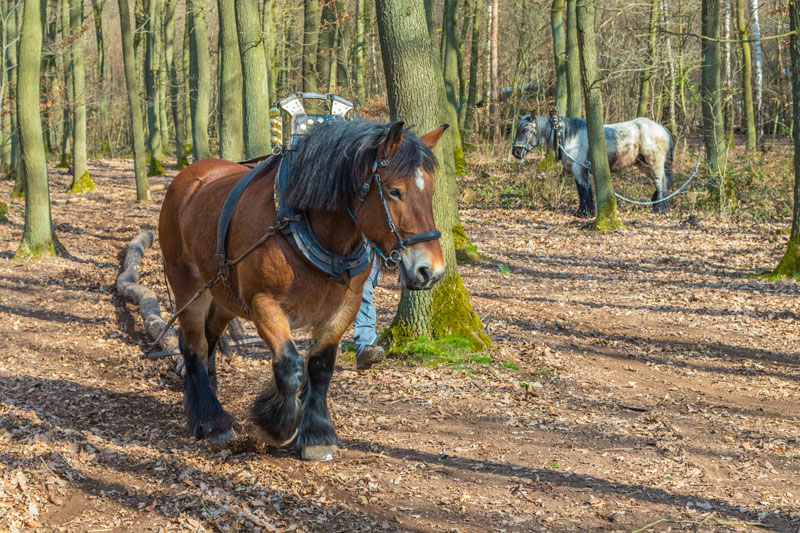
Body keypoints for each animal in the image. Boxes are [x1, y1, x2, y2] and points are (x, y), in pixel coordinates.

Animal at [159, 119, 446, 458]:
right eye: (394, 191)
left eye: (432, 191)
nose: (431, 270)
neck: (313, 231)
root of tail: (189, 176)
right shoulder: (264, 304)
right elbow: (290, 365)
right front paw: (278, 425)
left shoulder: (343, 308)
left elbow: (320, 366)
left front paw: (317, 434)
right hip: (189, 286)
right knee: (194, 346)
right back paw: (211, 421)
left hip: (223, 296)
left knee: (209, 342)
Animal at [510, 115, 672, 215]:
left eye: (525, 130)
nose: (516, 152)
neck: (568, 136)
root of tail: (662, 128)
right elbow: (584, 191)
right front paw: (587, 210)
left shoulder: (579, 170)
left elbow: (583, 191)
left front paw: (584, 213)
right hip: (644, 165)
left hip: (655, 163)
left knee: (660, 183)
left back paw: (660, 210)